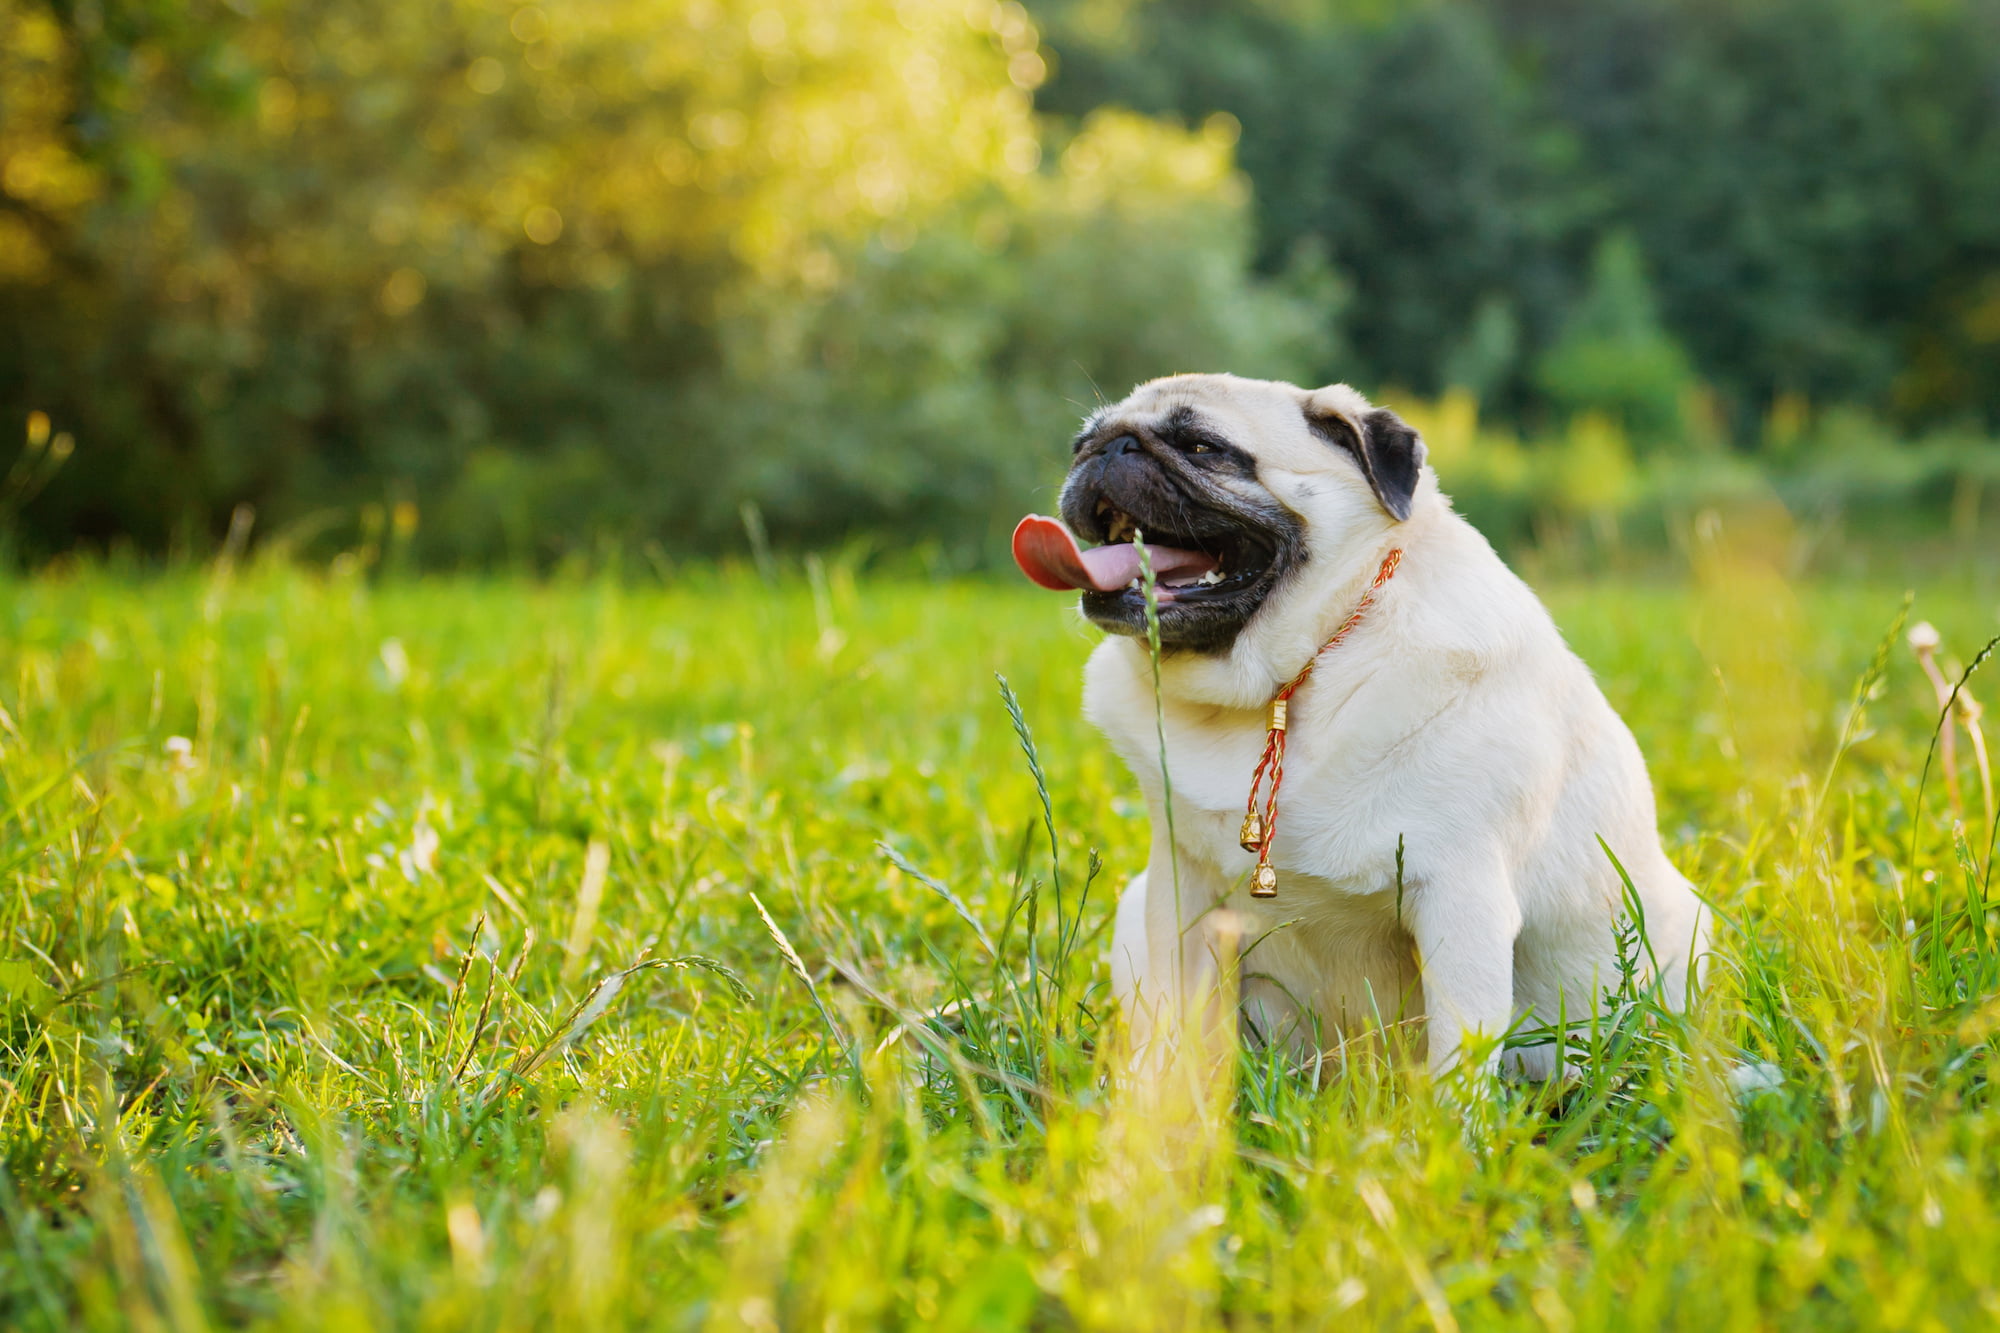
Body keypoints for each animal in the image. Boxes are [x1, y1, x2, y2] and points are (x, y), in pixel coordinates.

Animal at [1016, 368, 1704, 1072]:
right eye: (1080, 443)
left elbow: (1457, 1064)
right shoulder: (1181, 894)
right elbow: (1177, 1033)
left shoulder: (1462, 904)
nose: (1109, 449)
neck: (1283, 682)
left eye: (1204, 447)